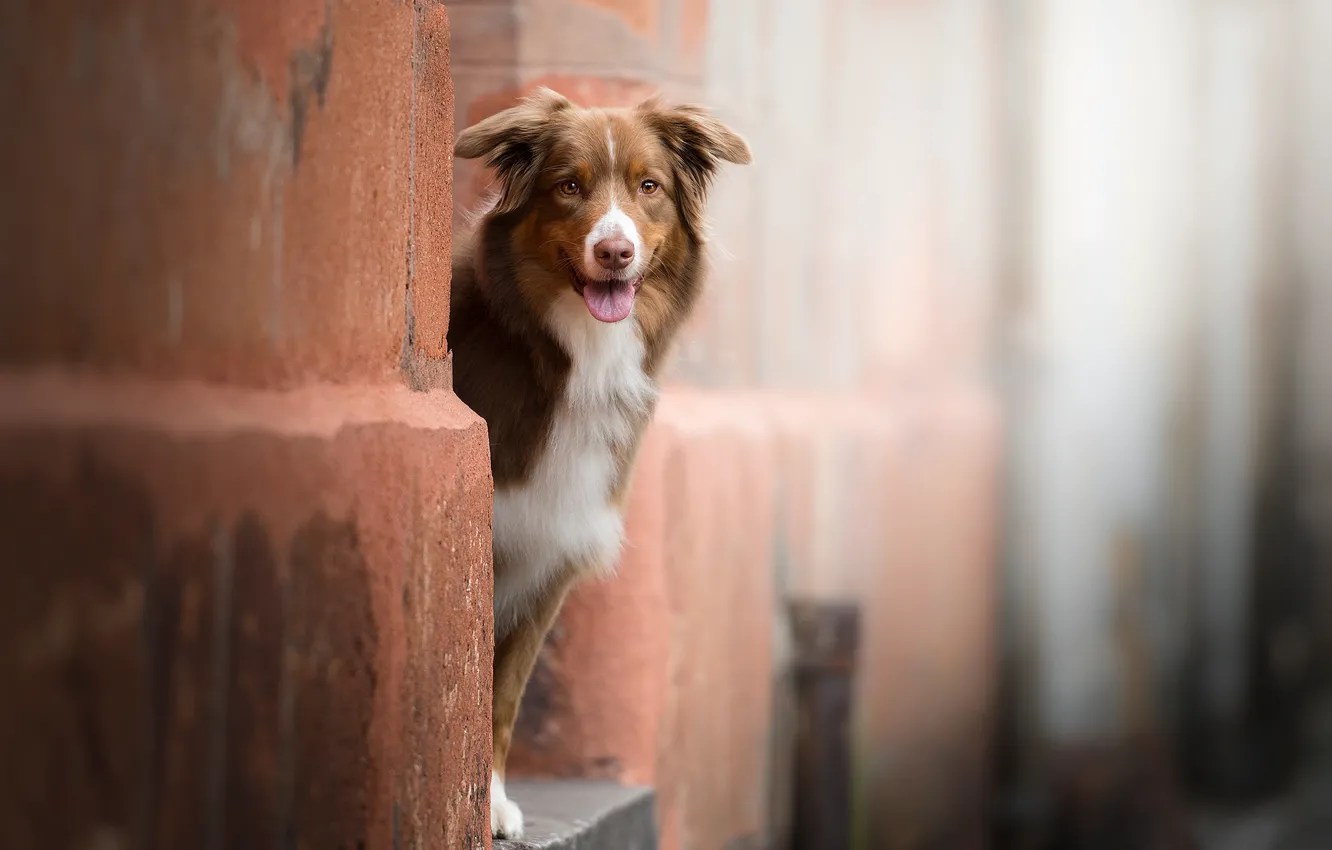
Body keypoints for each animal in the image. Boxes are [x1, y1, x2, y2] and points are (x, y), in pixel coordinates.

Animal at [450, 86, 751, 842]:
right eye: (568, 186)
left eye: (649, 187)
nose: (615, 251)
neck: (565, 353)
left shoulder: (548, 549)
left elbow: (502, 692)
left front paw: (489, 802)